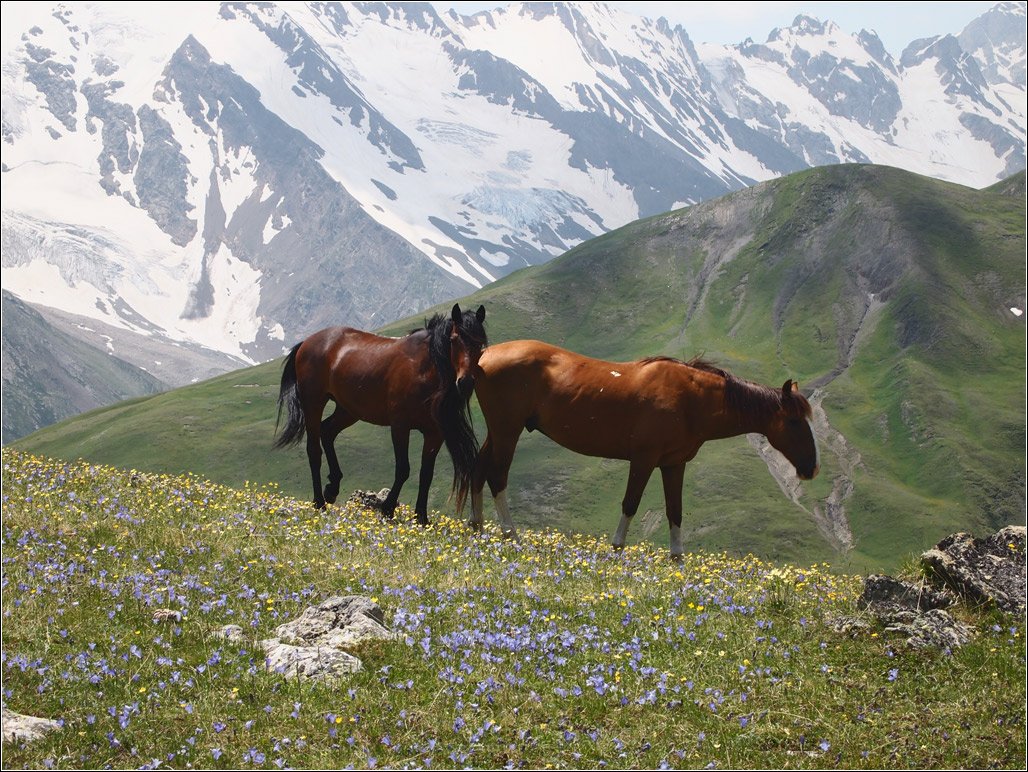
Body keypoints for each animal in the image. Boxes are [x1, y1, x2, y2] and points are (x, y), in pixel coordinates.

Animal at [271, 304, 483, 526]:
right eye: (454, 339)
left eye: (480, 343)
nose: (465, 382)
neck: (423, 369)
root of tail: (306, 342)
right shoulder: (400, 426)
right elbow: (403, 469)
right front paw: (387, 509)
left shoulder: (435, 433)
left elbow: (426, 474)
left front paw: (421, 518)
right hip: (314, 403)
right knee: (314, 450)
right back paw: (319, 502)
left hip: (348, 410)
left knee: (327, 431)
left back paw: (332, 488)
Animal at [470, 341, 818, 559]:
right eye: (794, 421)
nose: (811, 468)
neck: (689, 398)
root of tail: (484, 355)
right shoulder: (643, 460)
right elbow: (630, 504)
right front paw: (616, 551)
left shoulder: (674, 464)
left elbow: (675, 511)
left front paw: (677, 561)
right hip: (508, 430)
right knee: (497, 477)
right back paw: (511, 537)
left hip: (498, 432)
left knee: (477, 467)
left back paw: (477, 531)